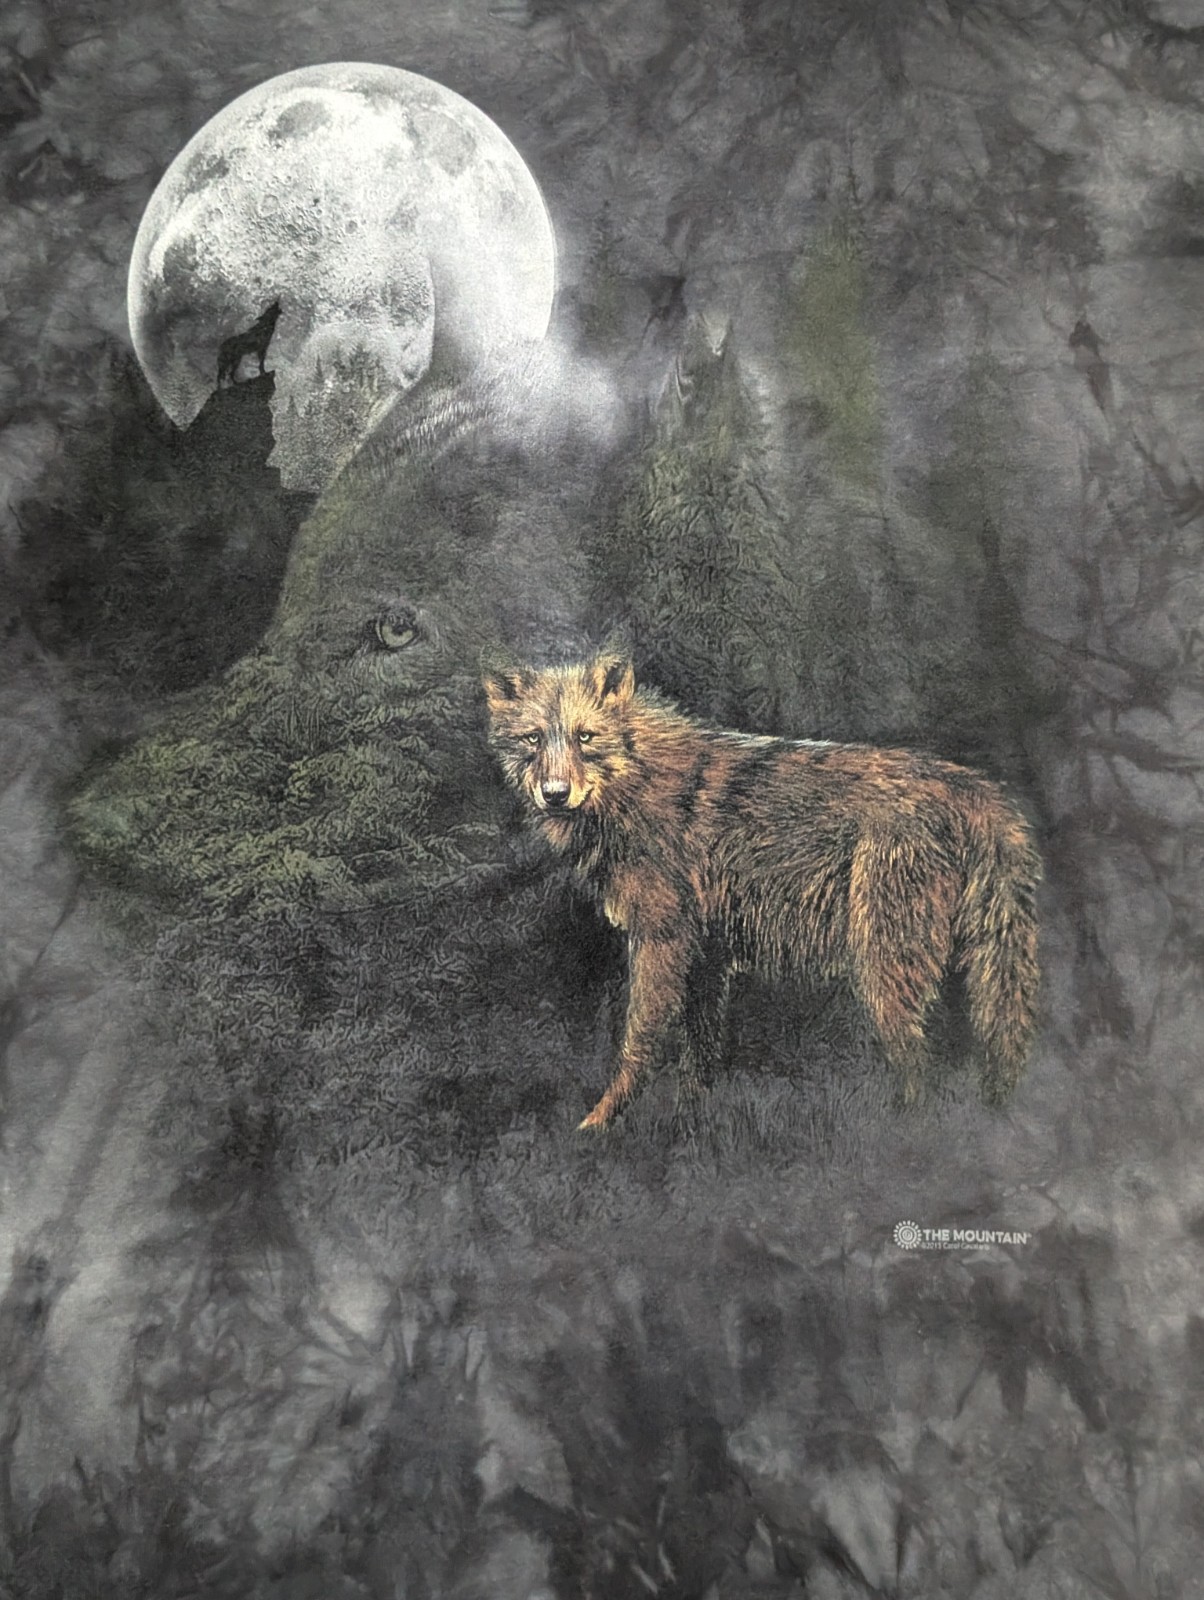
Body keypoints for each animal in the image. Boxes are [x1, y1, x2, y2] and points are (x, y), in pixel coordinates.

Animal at [485, 650, 1042, 1131]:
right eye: (533, 739)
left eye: (585, 737)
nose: (555, 795)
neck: (634, 781)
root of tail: (969, 786)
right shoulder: (705, 958)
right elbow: (698, 1057)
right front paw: (688, 1130)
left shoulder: (660, 944)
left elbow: (637, 1046)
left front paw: (599, 1126)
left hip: (884, 973)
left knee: (918, 1066)